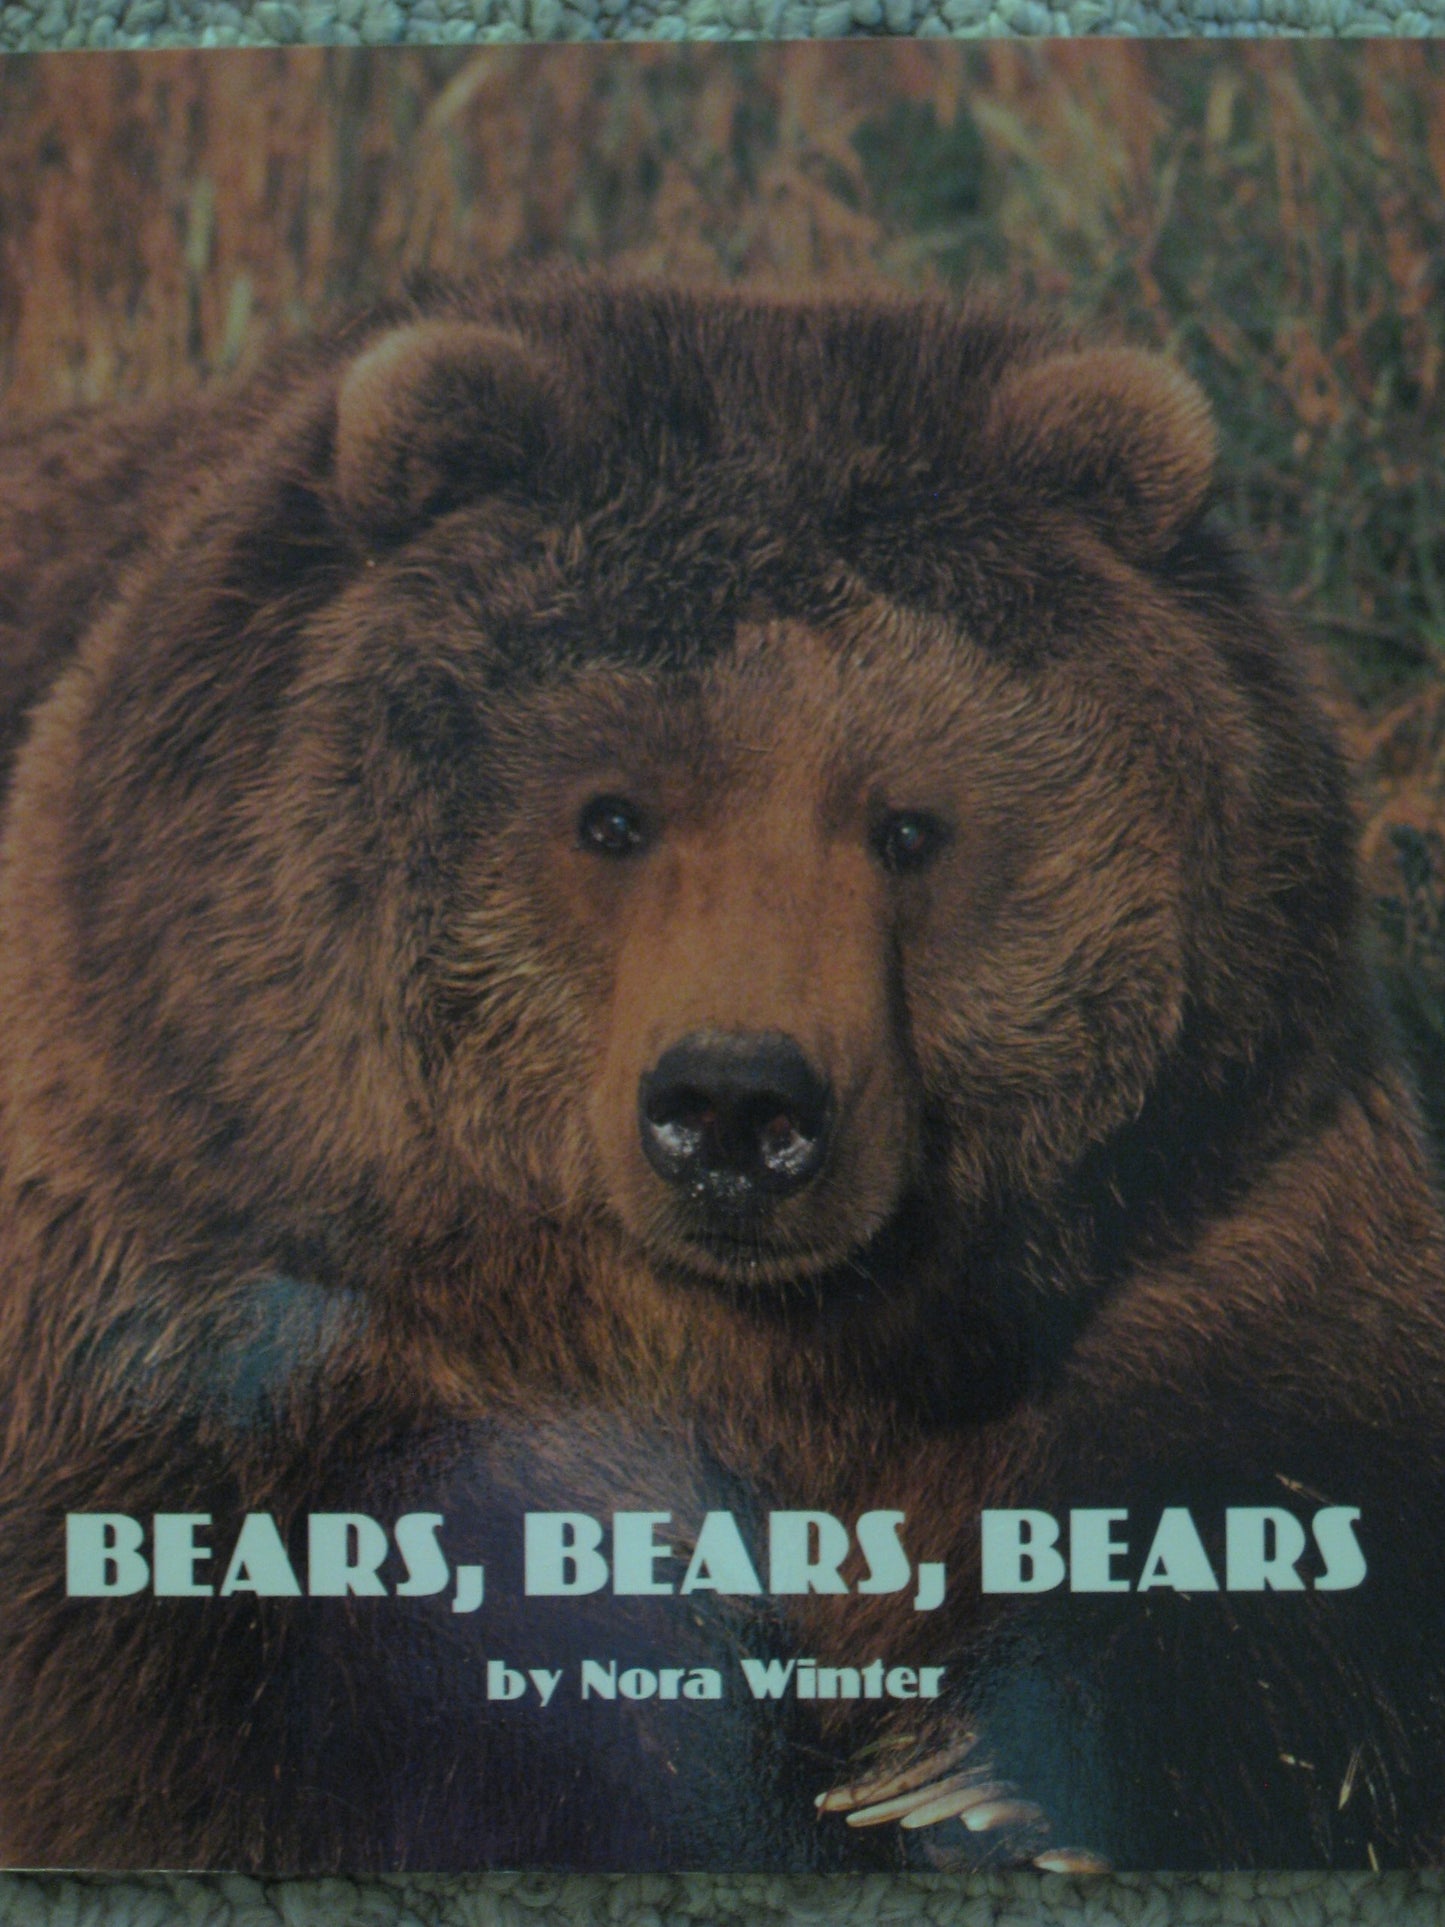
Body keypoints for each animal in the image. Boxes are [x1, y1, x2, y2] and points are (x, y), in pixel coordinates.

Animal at [1, 274, 1444, 1873]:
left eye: (908, 825)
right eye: (611, 814)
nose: (739, 1108)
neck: (762, 1347)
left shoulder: (1210, 1200)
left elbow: (1304, 1522)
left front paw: (971, 1777)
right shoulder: (223, 1225)